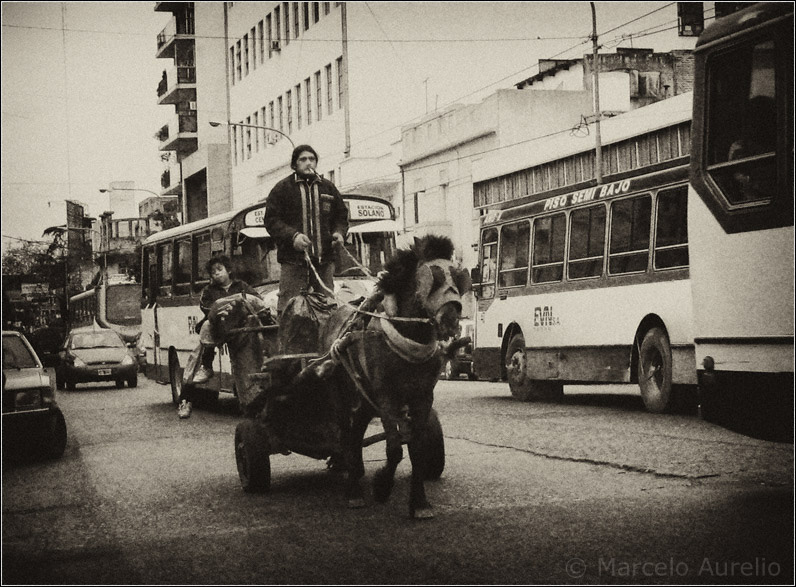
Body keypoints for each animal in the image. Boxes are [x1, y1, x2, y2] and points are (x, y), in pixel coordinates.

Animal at [314, 234, 470, 520]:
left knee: (356, 435)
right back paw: (353, 491)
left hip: (364, 399)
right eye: (433, 279)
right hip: (342, 393)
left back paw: (356, 474)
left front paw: (419, 502)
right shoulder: (386, 396)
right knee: (346, 436)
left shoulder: (422, 397)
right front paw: (382, 486)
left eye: (459, 278)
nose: (451, 321)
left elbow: (416, 449)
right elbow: (395, 448)